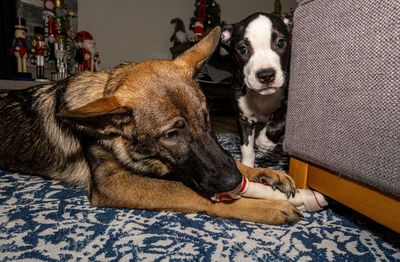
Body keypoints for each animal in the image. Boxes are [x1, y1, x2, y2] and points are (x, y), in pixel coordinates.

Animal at [0, 28, 300, 225]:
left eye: (206, 117)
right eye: (171, 134)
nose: (234, 183)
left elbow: (232, 161)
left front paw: (265, 173)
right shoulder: (113, 183)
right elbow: (188, 191)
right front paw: (263, 207)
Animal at [220, 12, 292, 166]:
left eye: (281, 43)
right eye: (242, 49)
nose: (266, 75)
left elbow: (279, 119)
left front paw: (265, 142)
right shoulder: (244, 118)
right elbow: (246, 149)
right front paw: (248, 167)